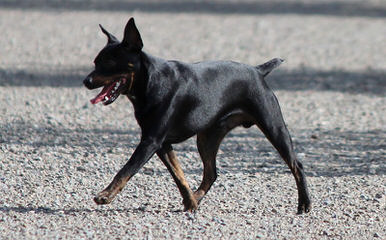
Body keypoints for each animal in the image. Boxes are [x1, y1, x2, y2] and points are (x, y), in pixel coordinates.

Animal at [83, 18, 312, 214]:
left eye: (109, 63)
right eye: (95, 62)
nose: (86, 81)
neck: (151, 82)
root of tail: (258, 70)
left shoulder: (150, 142)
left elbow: (126, 169)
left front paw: (105, 195)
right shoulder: (162, 145)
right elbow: (179, 176)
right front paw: (190, 203)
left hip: (273, 127)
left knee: (296, 165)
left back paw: (304, 204)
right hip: (207, 138)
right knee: (211, 173)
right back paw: (197, 197)